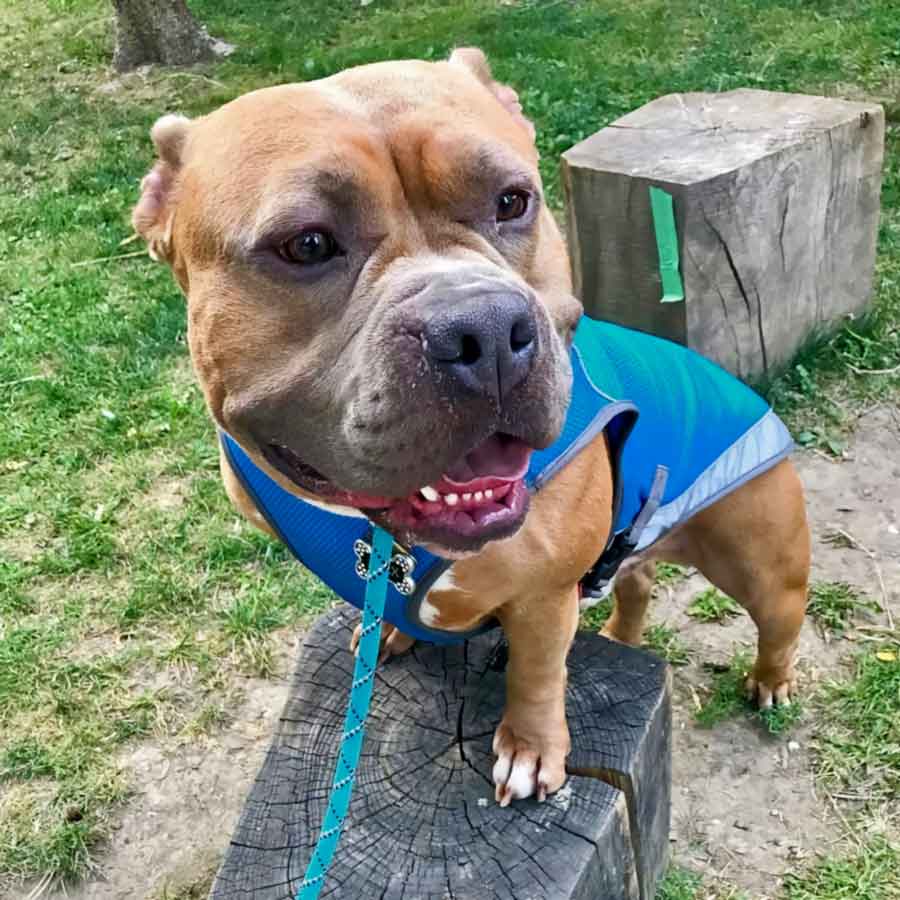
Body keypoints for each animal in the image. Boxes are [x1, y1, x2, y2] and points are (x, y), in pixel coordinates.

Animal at [132, 47, 808, 808]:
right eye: (305, 245)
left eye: (511, 201)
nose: (483, 331)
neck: (385, 540)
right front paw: (386, 637)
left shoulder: (545, 596)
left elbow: (538, 672)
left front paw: (531, 749)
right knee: (635, 582)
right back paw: (623, 631)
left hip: (761, 556)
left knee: (779, 620)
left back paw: (770, 682)